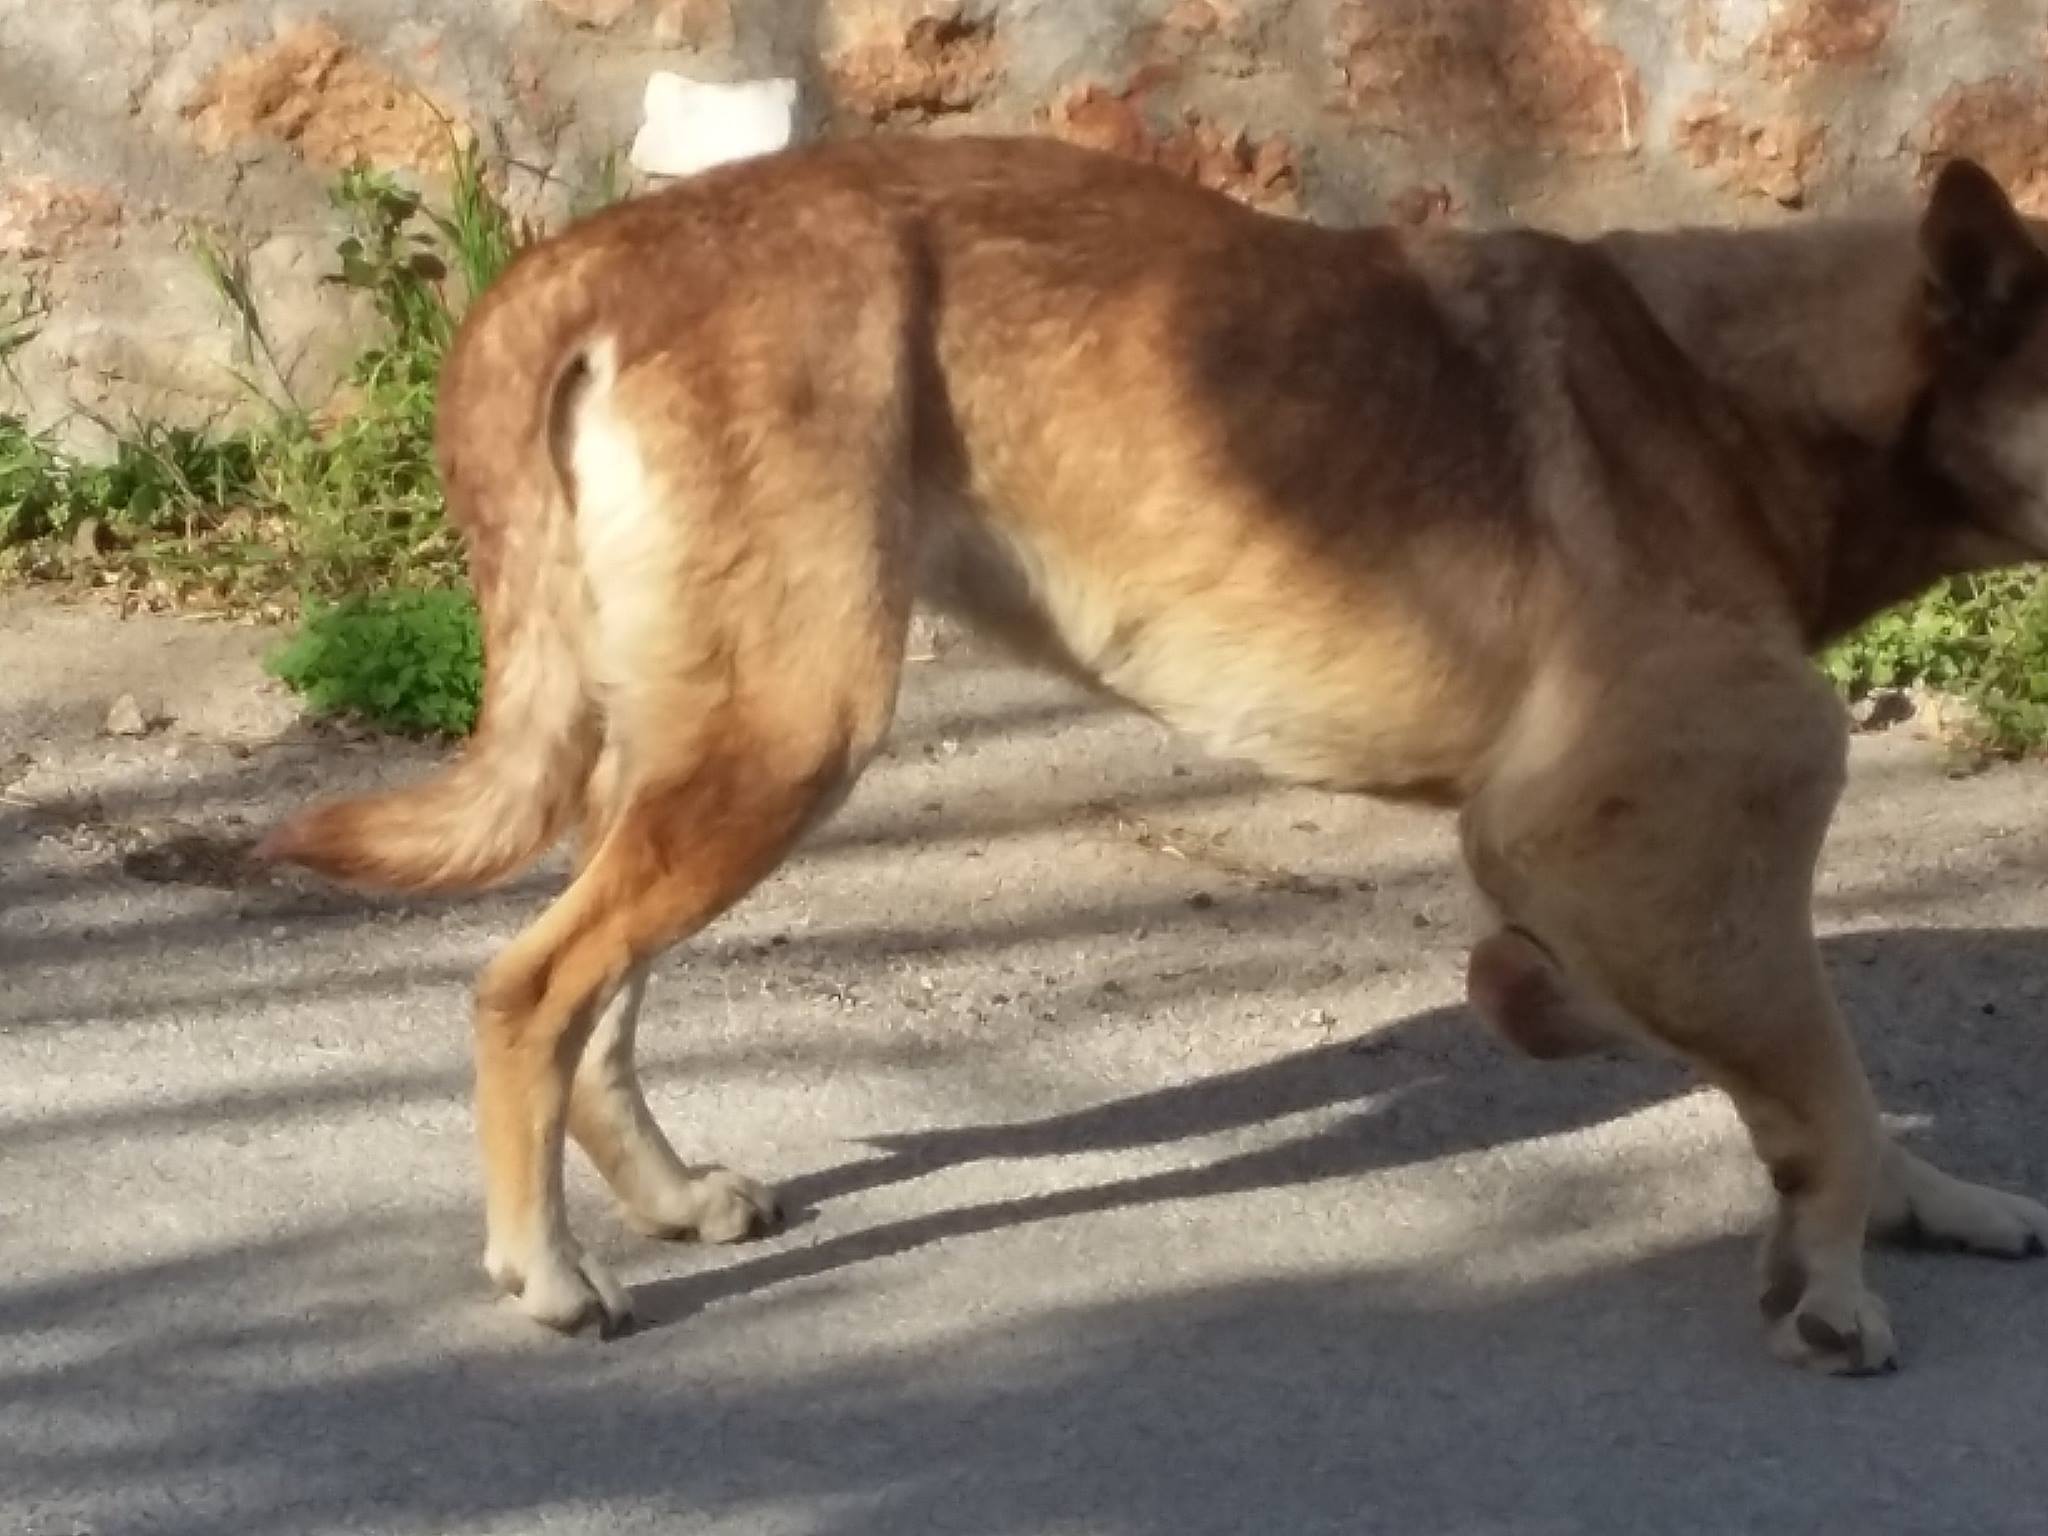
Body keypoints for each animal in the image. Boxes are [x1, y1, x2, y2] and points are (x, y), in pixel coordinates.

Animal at [262, 135, 2048, 1373]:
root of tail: (599, 255)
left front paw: (1915, 1208)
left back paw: (666, 1196)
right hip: (781, 745)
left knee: (600, 1003)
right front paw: (1836, 1279)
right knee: (529, 993)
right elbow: (1824, 1079)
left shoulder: (1645, 890)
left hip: (711, 753)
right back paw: (549, 1270)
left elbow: (1818, 1085)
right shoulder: (1625, 845)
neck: (1737, 398)